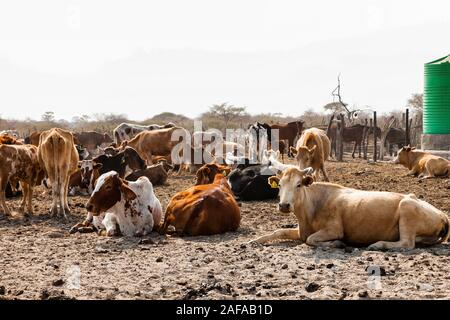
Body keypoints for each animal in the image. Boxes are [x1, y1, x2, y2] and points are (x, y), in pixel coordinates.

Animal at [250, 168, 450, 250]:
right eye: (280, 185)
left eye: (299, 185)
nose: (284, 205)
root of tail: (442, 214)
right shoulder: (300, 231)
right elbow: (279, 231)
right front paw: (256, 240)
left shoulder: (334, 229)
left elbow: (311, 240)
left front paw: (337, 244)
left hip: (407, 207)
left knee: (407, 244)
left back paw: (378, 245)